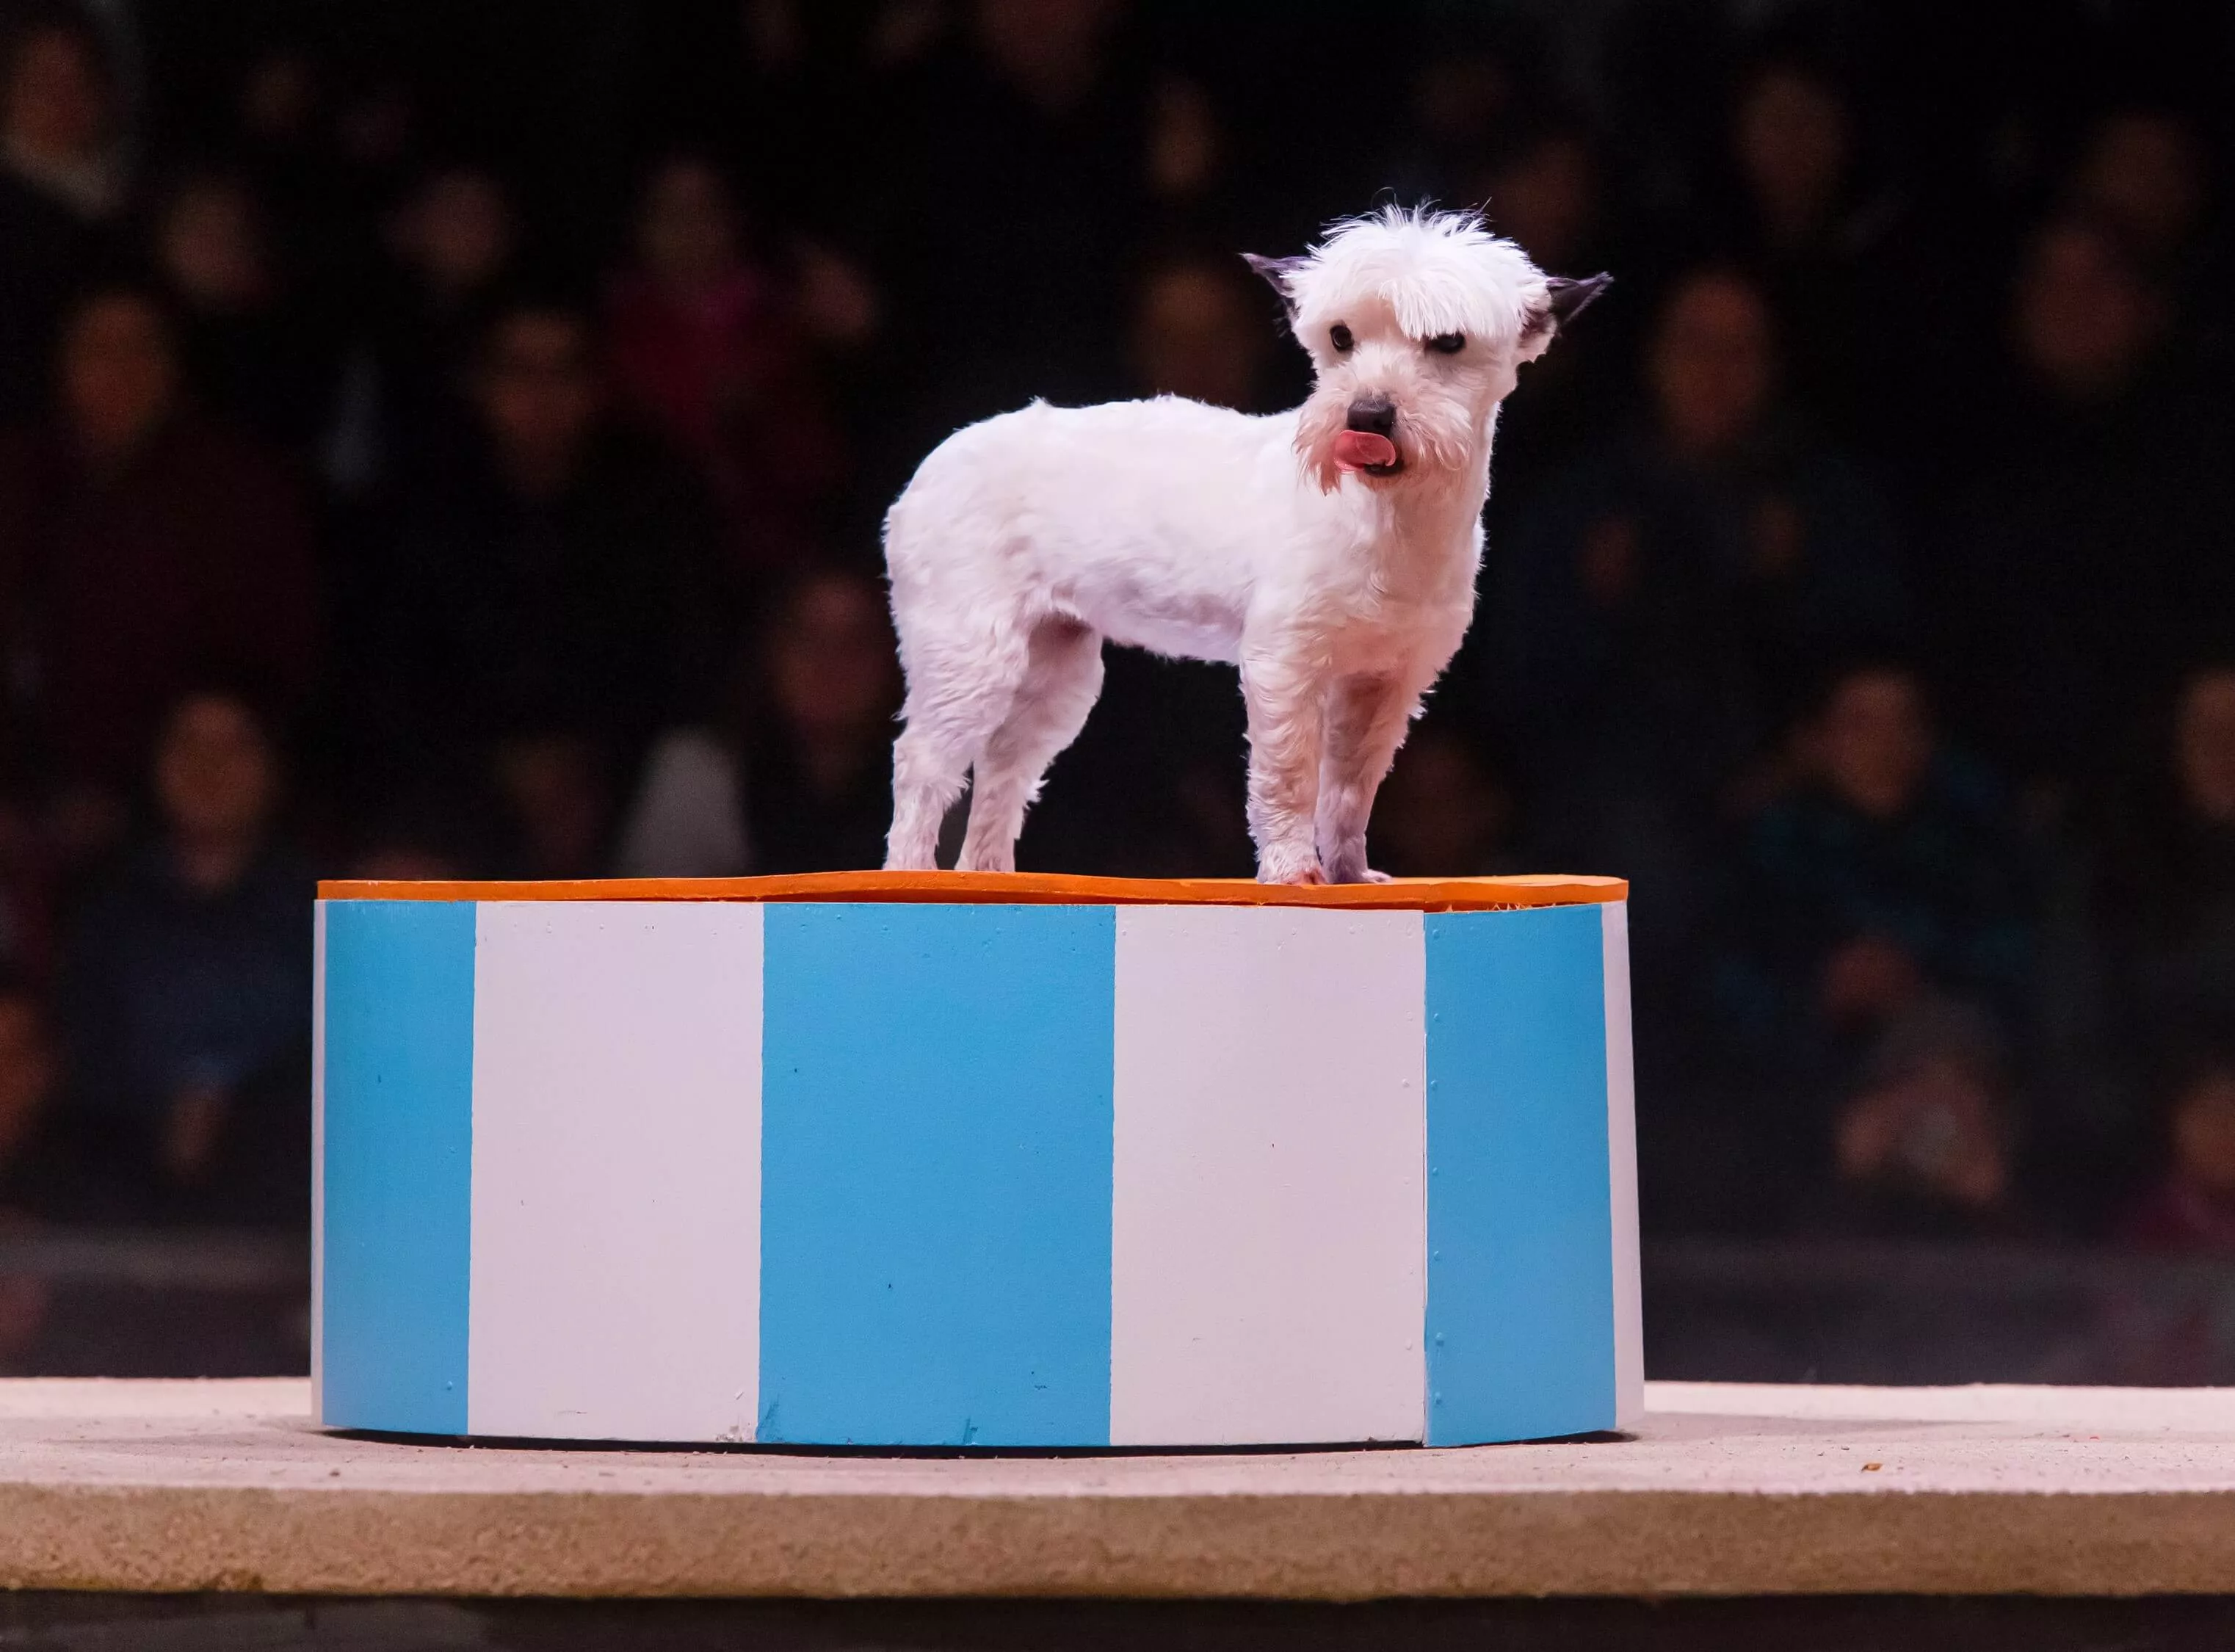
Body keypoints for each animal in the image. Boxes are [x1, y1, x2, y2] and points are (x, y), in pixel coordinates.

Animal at [880, 206, 1600, 885]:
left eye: (1448, 343)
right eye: (1340, 338)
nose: (1366, 416)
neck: (1385, 518)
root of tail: (929, 469)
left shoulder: (1388, 680)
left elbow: (1349, 789)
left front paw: (1349, 873)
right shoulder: (1284, 663)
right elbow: (1289, 777)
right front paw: (1292, 869)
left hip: (1055, 670)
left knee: (1004, 767)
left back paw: (985, 875)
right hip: (969, 651)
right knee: (924, 762)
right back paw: (911, 874)